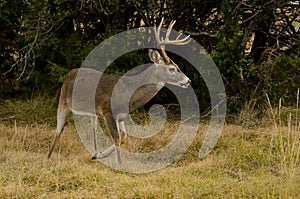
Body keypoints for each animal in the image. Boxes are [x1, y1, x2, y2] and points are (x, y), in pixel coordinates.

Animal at [47, 18, 191, 165]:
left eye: (177, 66)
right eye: (172, 69)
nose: (188, 80)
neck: (128, 91)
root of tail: (69, 73)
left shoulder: (121, 115)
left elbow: (124, 136)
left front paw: (99, 155)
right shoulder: (107, 111)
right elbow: (117, 137)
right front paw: (119, 163)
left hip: (91, 111)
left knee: (92, 127)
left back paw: (94, 153)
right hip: (63, 101)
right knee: (58, 129)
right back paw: (48, 158)